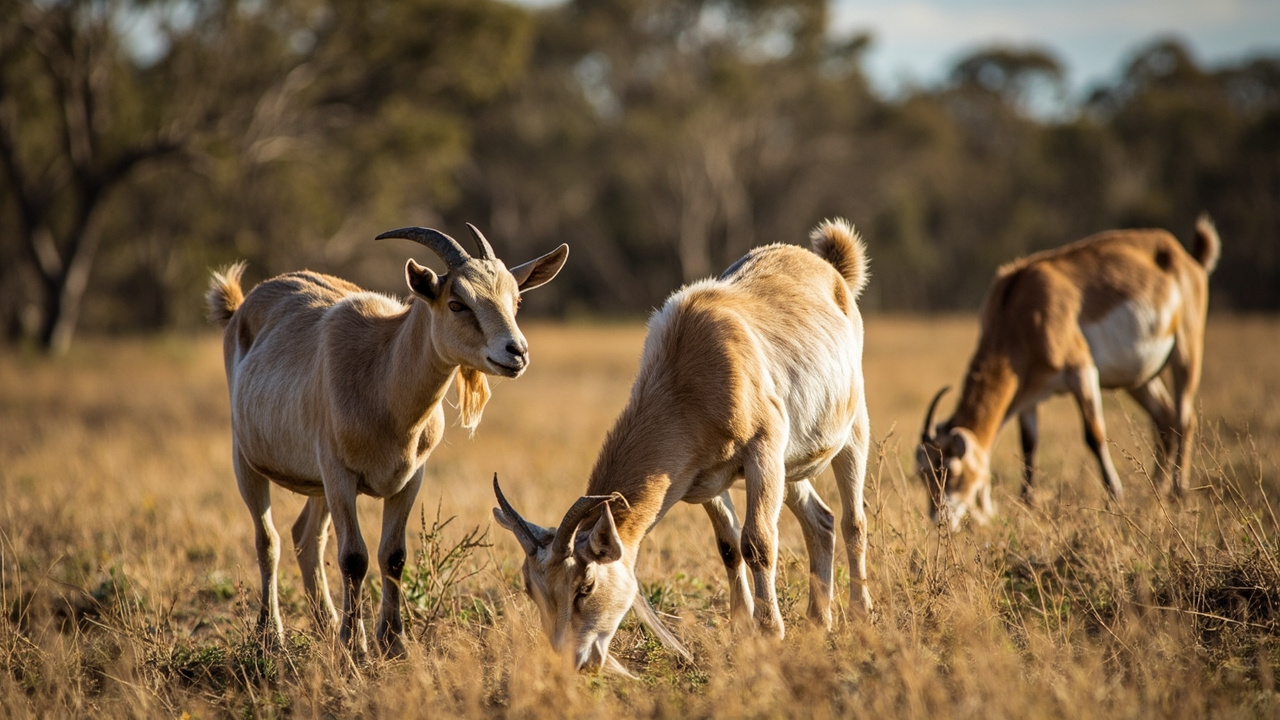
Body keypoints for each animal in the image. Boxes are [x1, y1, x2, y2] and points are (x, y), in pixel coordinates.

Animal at [206, 224, 568, 655]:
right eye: (457, 302)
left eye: (516, 299)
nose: (516, 352)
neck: (381, 376)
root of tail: (239, 308)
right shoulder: (340, 476)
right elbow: (353, 557)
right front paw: (355, 646)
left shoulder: (409, 479)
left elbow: (392, 555)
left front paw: (393, 643)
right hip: (248, 462)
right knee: (269, 540)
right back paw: (271, 634)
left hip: (317, 485)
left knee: (306, 537)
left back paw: (326, 625)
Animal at [493, 219, 873, 675]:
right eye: (531, 588)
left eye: (585, 585)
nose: (574, 661)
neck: (689, 368)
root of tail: (833, 272)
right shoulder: (704, 480)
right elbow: (729, 547)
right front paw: (742, 632)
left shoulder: (762, 451)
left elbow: (757, 543)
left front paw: (770, 634)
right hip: (791, 465)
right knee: (821, 521)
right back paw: (819, 623)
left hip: (850, 432)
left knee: (853, 520)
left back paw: (860, 616)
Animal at [916, 215, 1220, 530]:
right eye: (923, 473)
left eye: (950, 470)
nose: (939, 519)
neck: (1019, 305)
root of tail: (1186, 258)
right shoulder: (1029, 394)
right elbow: (1029, 445)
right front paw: (1027, 502)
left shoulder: (1081, 372)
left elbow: (1094, 435)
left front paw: (1115, 496)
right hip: (1140, 379)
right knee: (1164, 419)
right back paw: (1156, 490)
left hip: (1186, 351)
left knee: (1184, 418)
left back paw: (1177, 492)